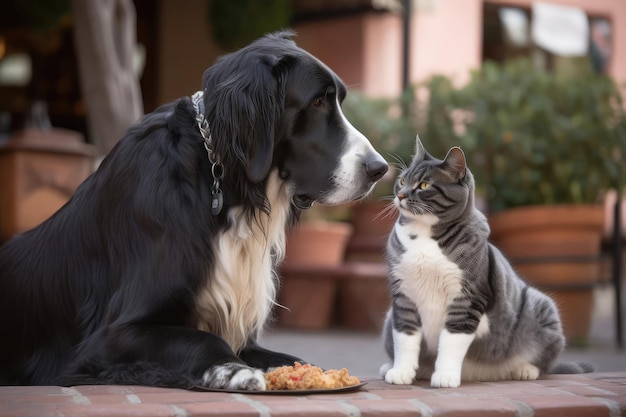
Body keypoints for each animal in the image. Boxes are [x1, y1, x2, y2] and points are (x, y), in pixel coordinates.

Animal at [0, 30, 386, 388]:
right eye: (318, 101)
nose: (379, 169)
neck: (220, 182)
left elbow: (283, 356)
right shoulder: (110, 336)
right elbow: (202, 339)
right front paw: (233, 369)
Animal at [378, 136, 588, 386]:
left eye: (424, 186)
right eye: (402, 180)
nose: (400, 195)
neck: (423, 234)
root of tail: (482, 375)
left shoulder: (467, 297)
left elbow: (451, 341)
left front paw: (446, 376)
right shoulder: (403, 294)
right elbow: (405, 337)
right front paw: (401, 371)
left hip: (543, 308)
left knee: (545, 361)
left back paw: (525, 370)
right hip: (388, 318)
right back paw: (390, 367)